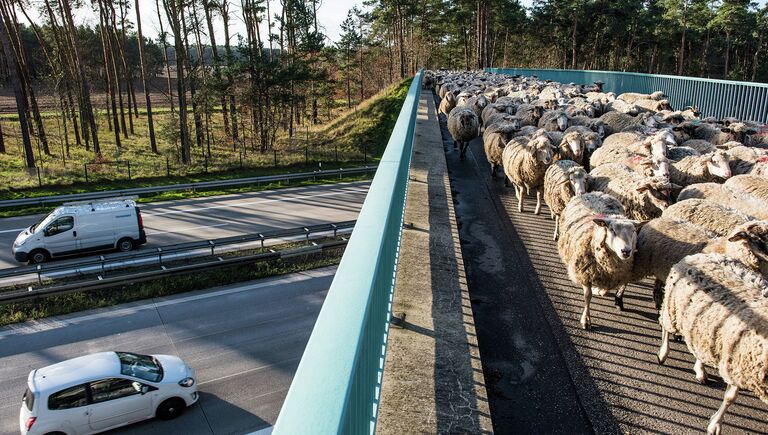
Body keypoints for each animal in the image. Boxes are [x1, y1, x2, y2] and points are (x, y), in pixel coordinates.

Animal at [556, 192, 640, 328]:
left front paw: (600, 291)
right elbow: (587, 296)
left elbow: (606, 290)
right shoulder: (584, 273)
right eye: (612, 230)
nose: (626, 251)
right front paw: (586, 319)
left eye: (633, 231)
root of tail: (594, 193)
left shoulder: (614, 275)